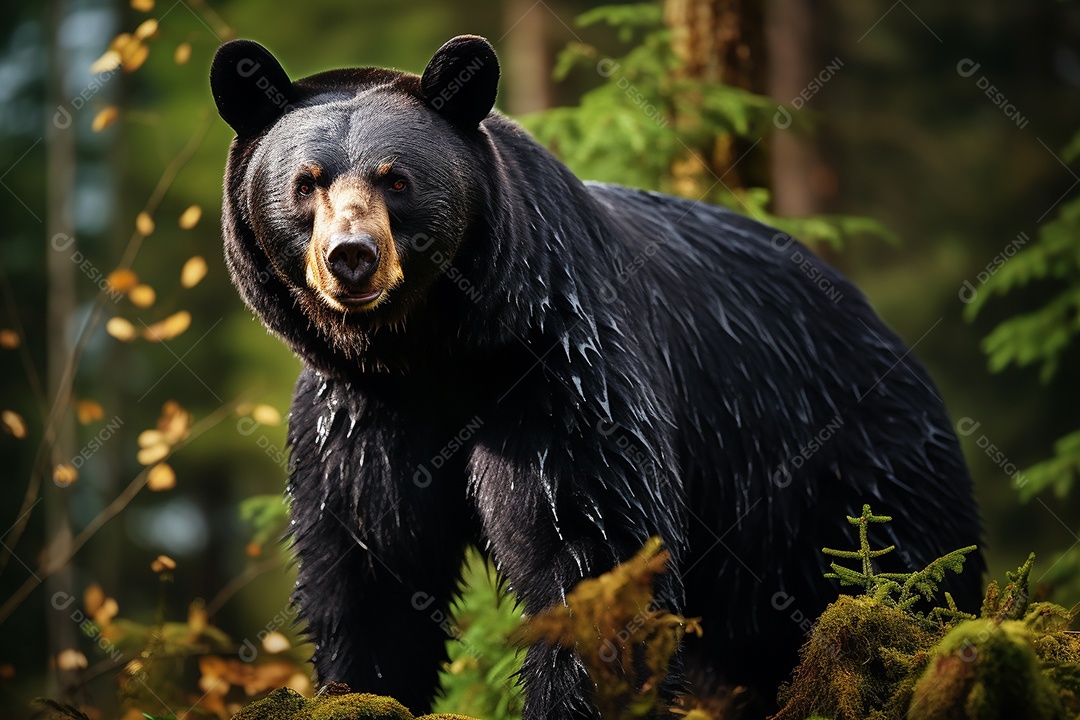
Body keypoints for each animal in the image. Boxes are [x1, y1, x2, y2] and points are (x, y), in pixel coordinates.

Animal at [210, 35, 984, 719]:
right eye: (304, 183)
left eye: (395, 178)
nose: (351, 256)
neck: (435, 354)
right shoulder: (361, 417)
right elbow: (368, 568)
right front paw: (362, 688)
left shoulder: (562, 374)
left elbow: (588, 542)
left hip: (849, 468)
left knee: (911, 575)